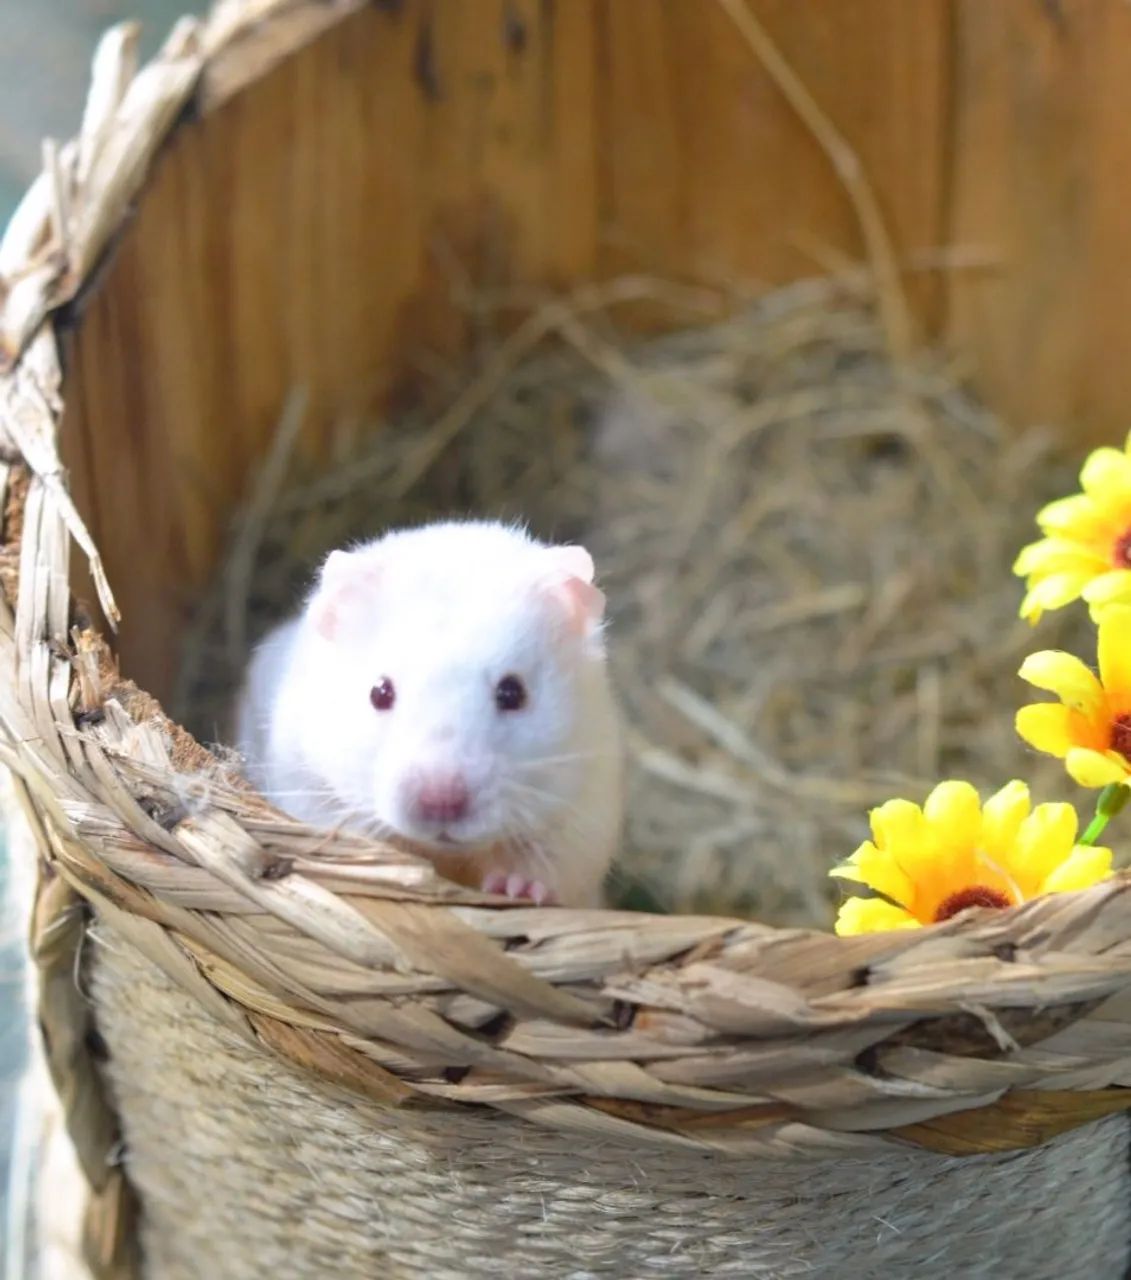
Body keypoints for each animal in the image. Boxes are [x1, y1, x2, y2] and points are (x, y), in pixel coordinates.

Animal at [235, 519, 624, 907]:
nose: (441, 803)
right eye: (379, 692)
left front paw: (516, 888)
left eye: (513, 693)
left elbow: (547, 866)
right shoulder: (307, 788)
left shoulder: (585, 812)